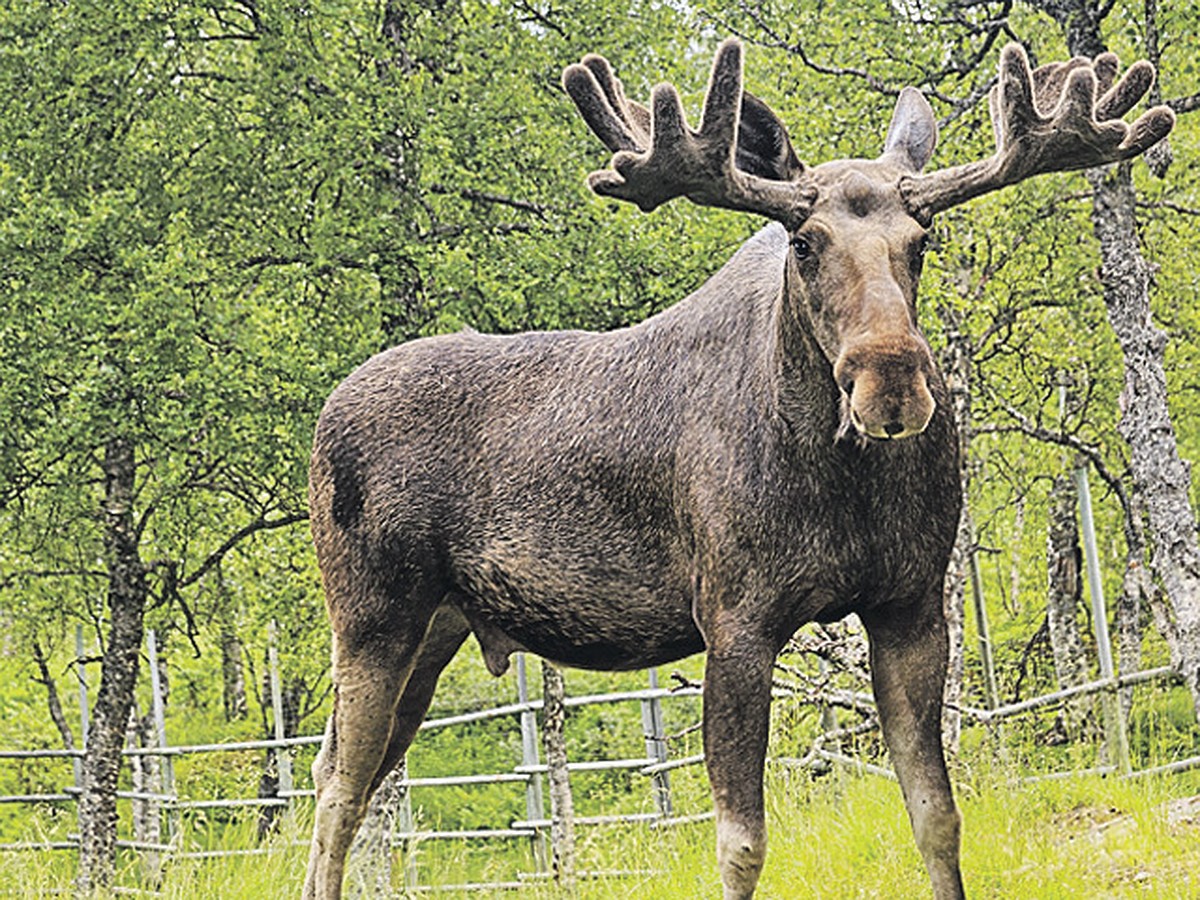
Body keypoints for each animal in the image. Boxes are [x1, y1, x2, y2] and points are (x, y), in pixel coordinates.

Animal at [300, 38, 1171, 900]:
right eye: (803, 242)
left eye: (923, 241)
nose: (890, 380)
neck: (840, 482)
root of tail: (324, 417)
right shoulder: (735, 618)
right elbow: (742, 842)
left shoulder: (912, 606)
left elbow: (937, 816)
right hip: (372, 615)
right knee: (339, 789)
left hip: (436, 626)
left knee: (350, 775)